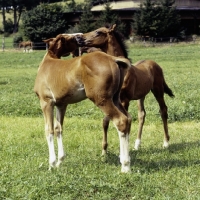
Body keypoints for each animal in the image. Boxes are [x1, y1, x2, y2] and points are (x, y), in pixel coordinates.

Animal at [33, 34, 132, 172]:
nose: (80, 38)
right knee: (128, 118)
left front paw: (52, 164)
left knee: (121, 121)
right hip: (115, 99)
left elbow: (49, 130)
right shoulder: (61, 105)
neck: (48, 61)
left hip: (101, 99)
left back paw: (125, 166)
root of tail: (113, 59)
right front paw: (59, 162)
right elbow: (58, 129)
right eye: (70, 39)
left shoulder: (46, 102)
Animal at [76, 25, 174, 153]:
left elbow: (126, 119)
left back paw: (166, 142)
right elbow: (106, 121)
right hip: (141, 96)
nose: (79, 38)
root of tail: (156, 65)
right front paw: (104, 150)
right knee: (142, 115)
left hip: (158, 90)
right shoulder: (111, 99)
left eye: (98, 32)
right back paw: (137, 144)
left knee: (163, 110)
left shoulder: (125, 100)